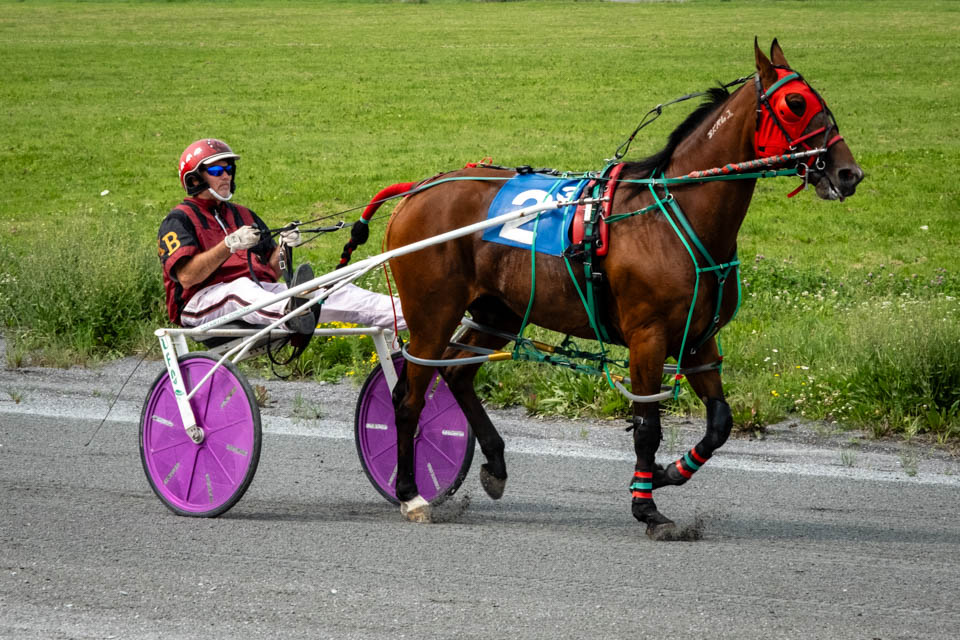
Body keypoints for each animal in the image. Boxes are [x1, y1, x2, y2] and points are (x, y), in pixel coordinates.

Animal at [378, 39, 863, 539]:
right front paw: (647, 508)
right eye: (796, 103)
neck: (671, 216)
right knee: (409, 397)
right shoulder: (647, 337)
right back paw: (411, 494)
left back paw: (494, 464)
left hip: (499, 311)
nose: (849, 173)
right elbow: (647, 425)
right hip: (433, 314)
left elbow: (720, 423)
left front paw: (667, 473)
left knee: (456, 372)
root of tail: (418, 190)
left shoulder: (698, 340)